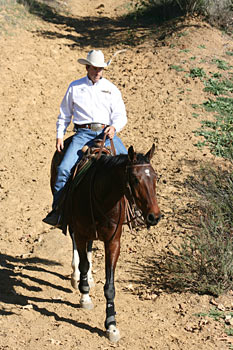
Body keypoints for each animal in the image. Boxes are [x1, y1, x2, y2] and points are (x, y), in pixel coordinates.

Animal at [50, 138, 161, 344]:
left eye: (156, 177)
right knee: (77, 248)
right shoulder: (80, 233)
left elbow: (110, 286)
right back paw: (76, 277)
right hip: (74, 226)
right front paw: (85, 295)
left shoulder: (113, 242)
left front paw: (111, 325)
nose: (154, 217)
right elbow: (83, 264)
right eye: (135, 179)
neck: (102, 197)